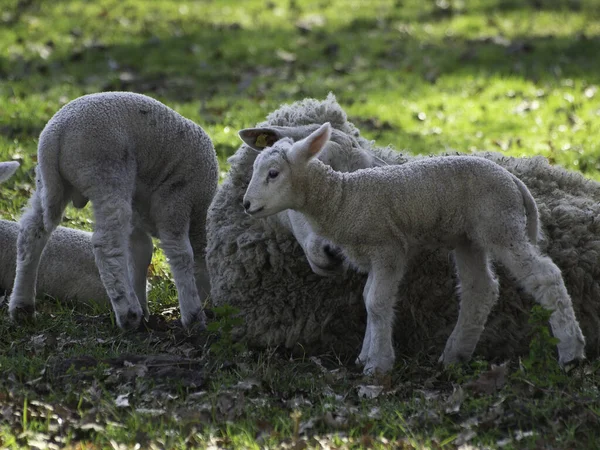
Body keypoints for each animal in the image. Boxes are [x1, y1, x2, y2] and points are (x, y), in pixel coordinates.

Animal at [9, 91, 219, 330]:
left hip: (49, 183)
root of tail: (55, 135)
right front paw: (193, 317)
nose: (215, 309)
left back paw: (22, 307)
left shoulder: (139, 214)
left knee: (32, 232)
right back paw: (128, 313)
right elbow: (180, 253)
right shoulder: (177, 198)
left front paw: (143, 304)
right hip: (107, 174)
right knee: (107, 243)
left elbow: (140, 252)